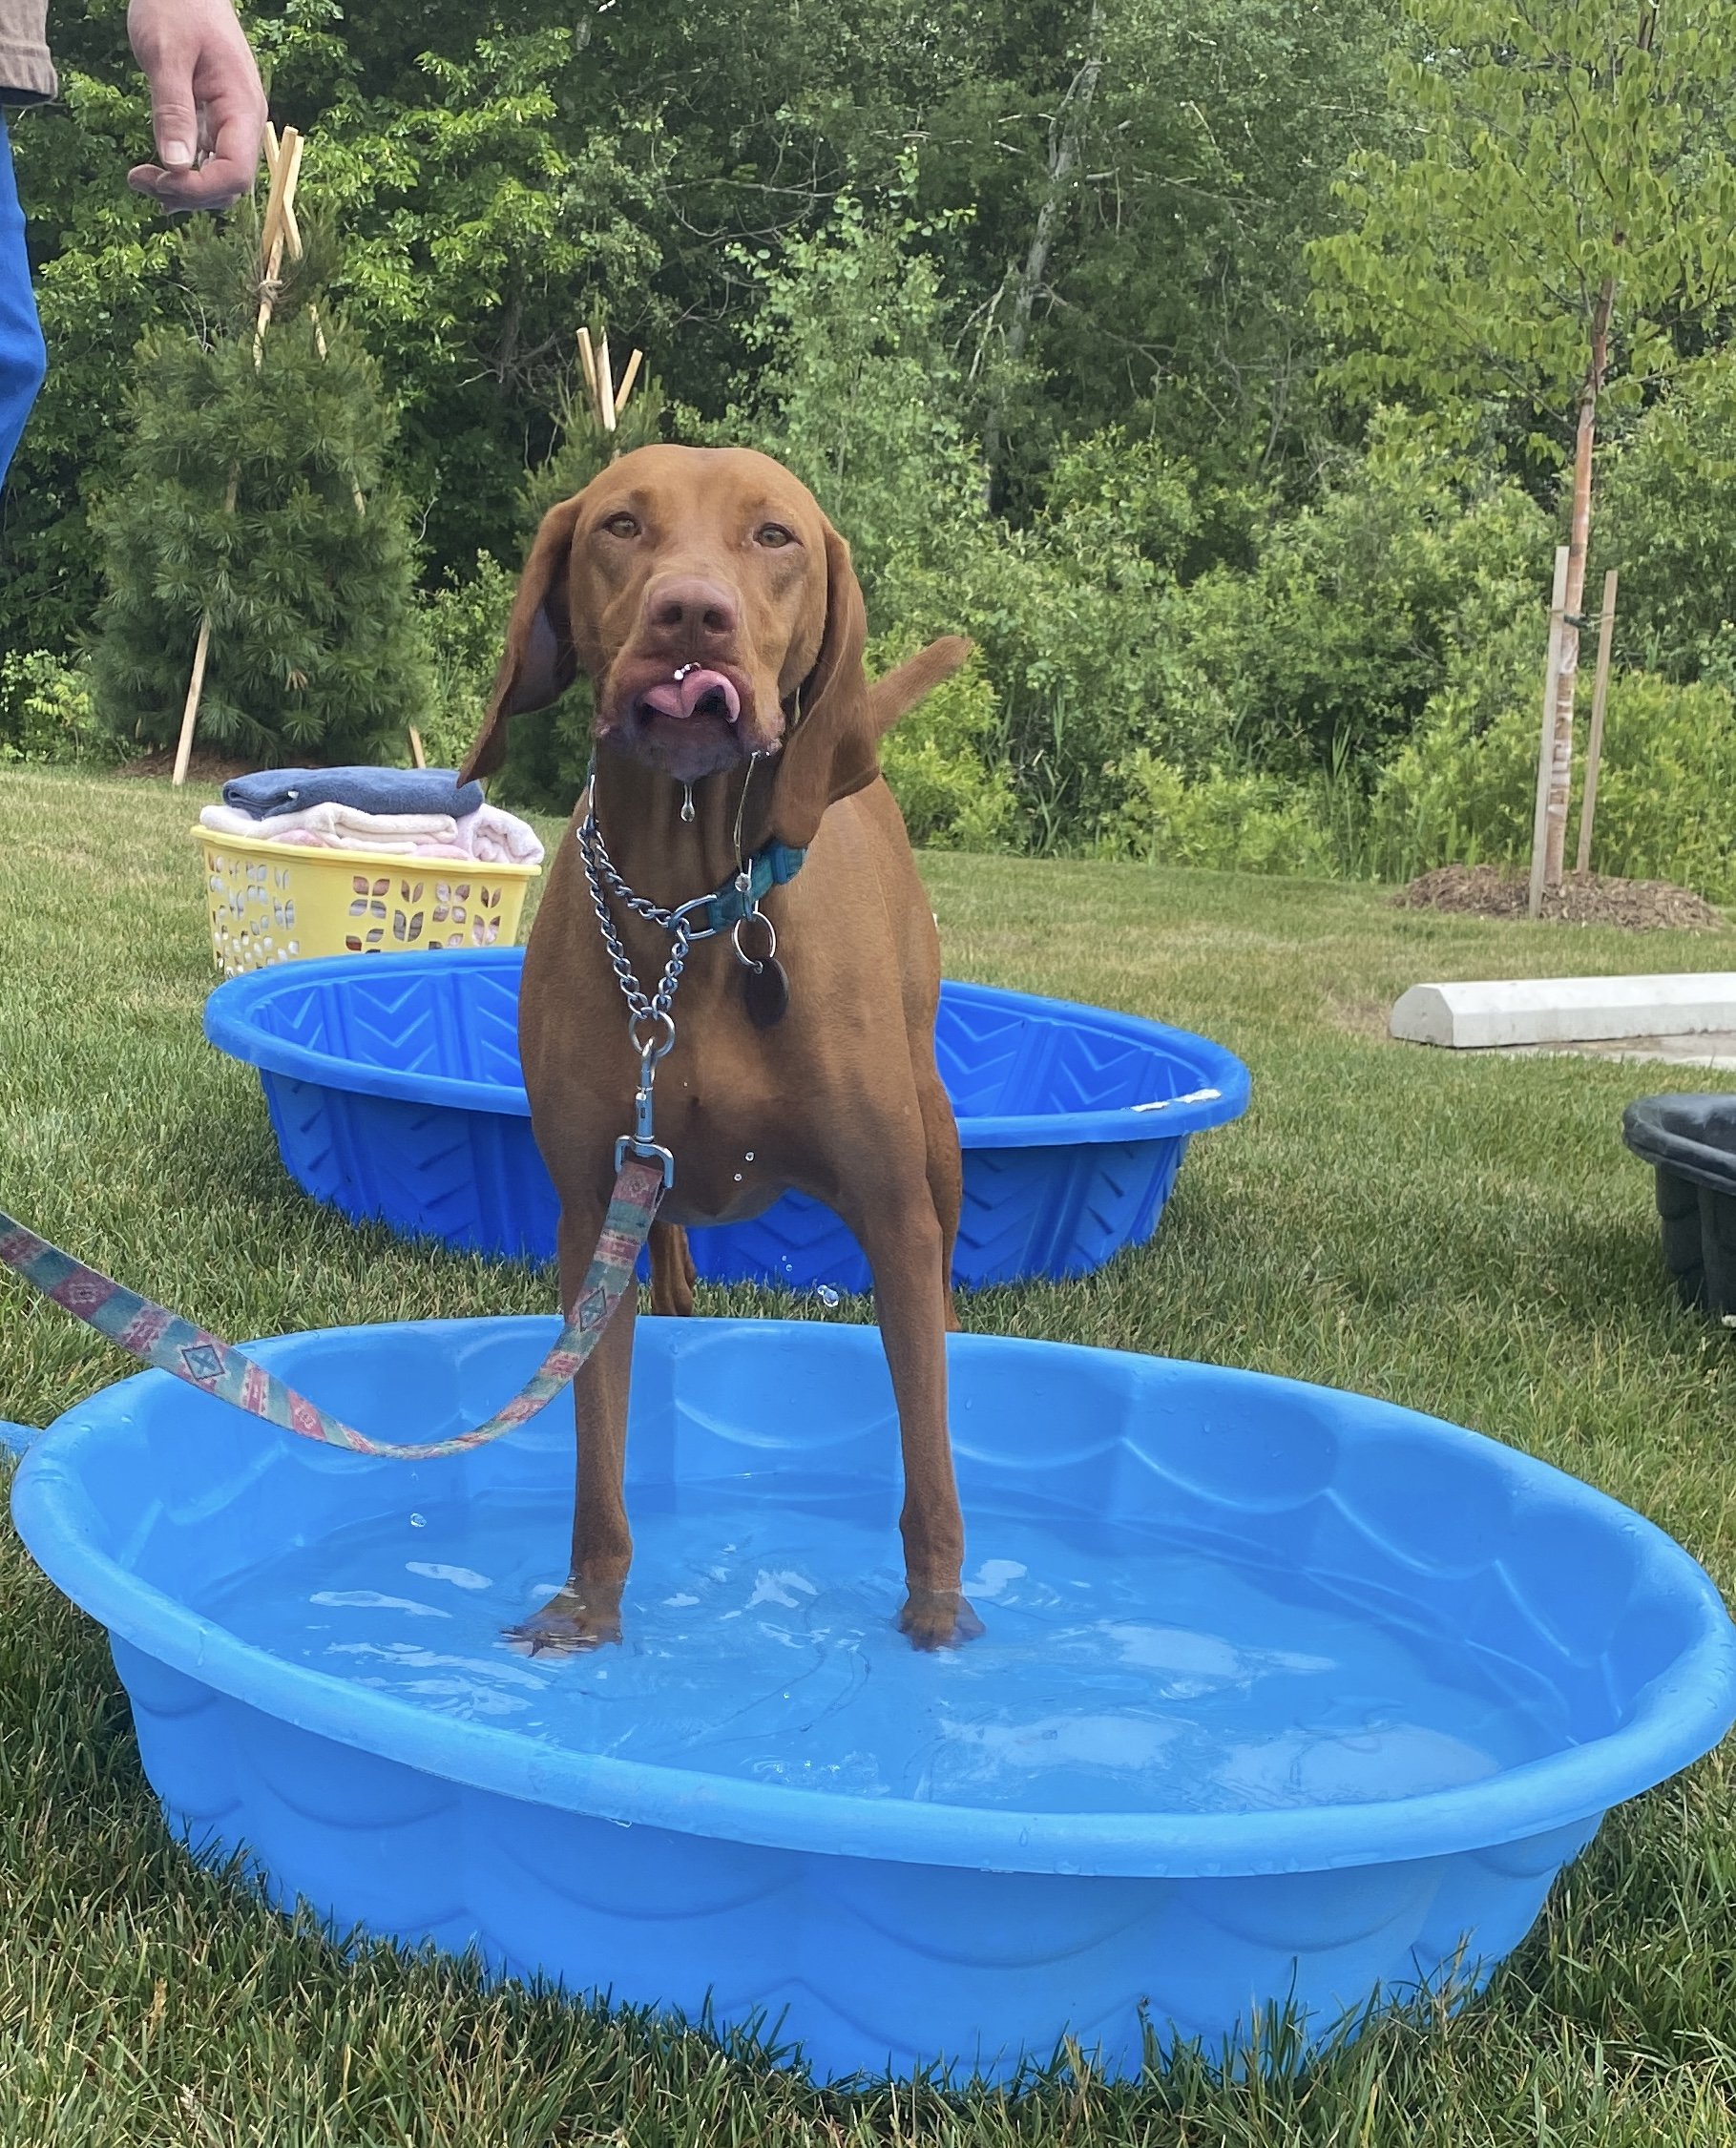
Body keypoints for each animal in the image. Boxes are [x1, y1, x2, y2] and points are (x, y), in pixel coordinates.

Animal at [453, 444, 984, 1649]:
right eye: (621, 525)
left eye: (773, 536)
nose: (690, 614)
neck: (693, 910)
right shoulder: (591, 1208)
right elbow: (598, 1460)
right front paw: (586, 1610)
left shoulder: (890, 1211)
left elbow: (928, 1454)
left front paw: (939, 1619)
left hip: (933, 1134)